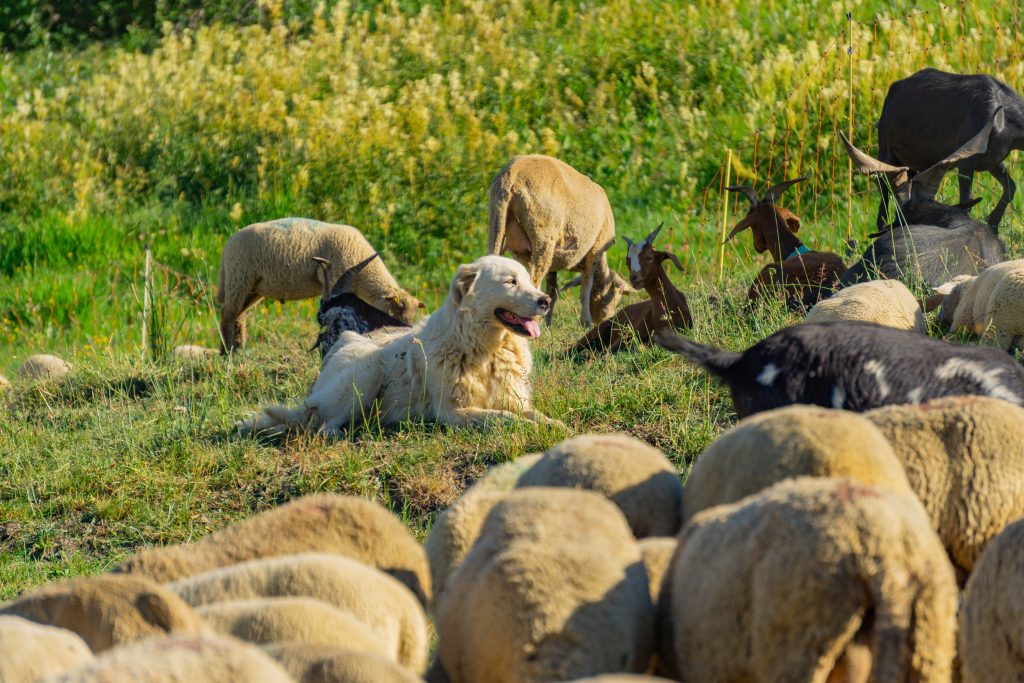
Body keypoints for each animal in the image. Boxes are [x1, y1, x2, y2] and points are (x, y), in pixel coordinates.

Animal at [216, 218, 423, 352]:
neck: (365, 274)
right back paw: (226, 352)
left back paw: (239, 348)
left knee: (239, 315)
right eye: (395, 310)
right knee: (227, 314)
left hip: (253, 288)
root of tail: (227, 246)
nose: (405, 330)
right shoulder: (334, 279)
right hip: (239, 279)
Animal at [488, 154, 629, 327]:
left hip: (496, 222)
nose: (607, 320)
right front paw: (586, 322)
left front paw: (548, 325)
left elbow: (552, 292)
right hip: (543, 235)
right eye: (618, 292)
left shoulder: (552, 262)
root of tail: (512, 174)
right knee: (534, 282)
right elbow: (586, 288)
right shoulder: (595, 250)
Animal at [873, 68, 1024, 228]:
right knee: (883, 193)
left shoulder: (992, 161)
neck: (1004, 120)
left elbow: (1011, 187)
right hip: (886, 152)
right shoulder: (966, 161)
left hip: (914, 164)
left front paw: (992, 222)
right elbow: (967, 201)